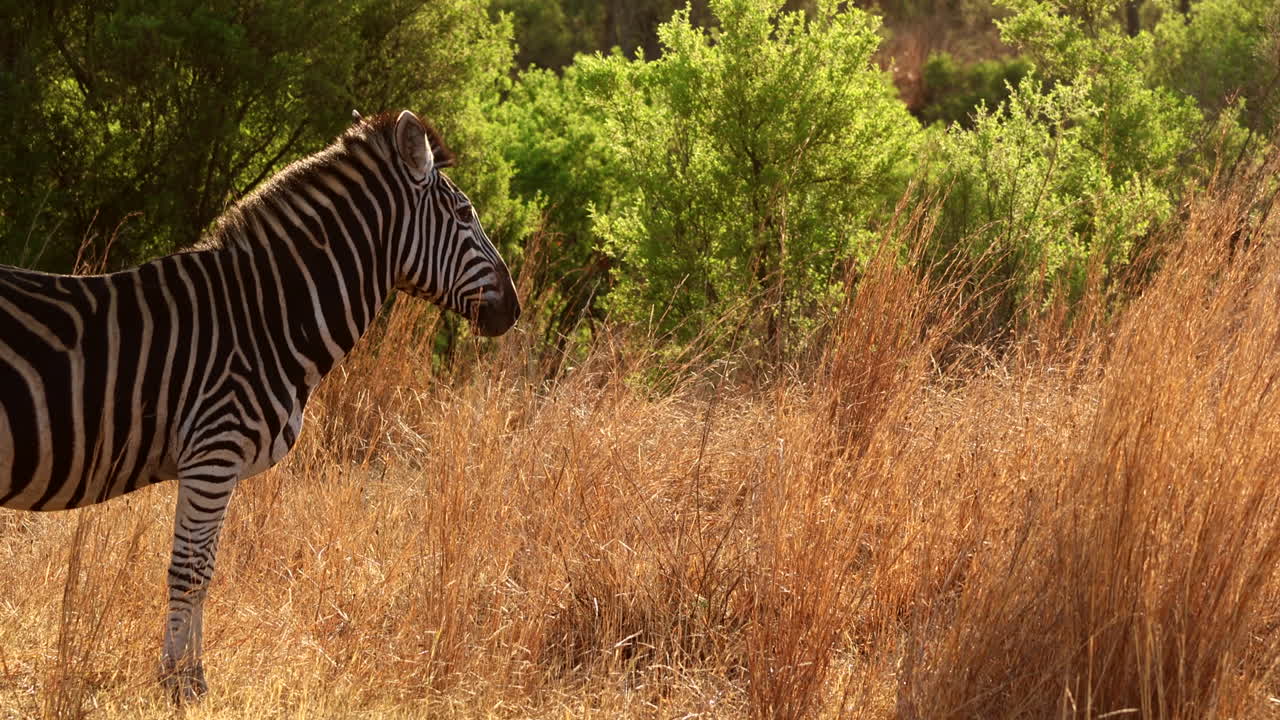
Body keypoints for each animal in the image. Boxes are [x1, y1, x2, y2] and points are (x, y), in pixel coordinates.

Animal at [0, 109, 520, 701]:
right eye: (465, 214)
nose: (515, 309)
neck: (265, 318)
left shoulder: (212, 465)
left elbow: (204, 570)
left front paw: (188, 679)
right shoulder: (213, 454)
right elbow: (191, 571)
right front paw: (181, 684)